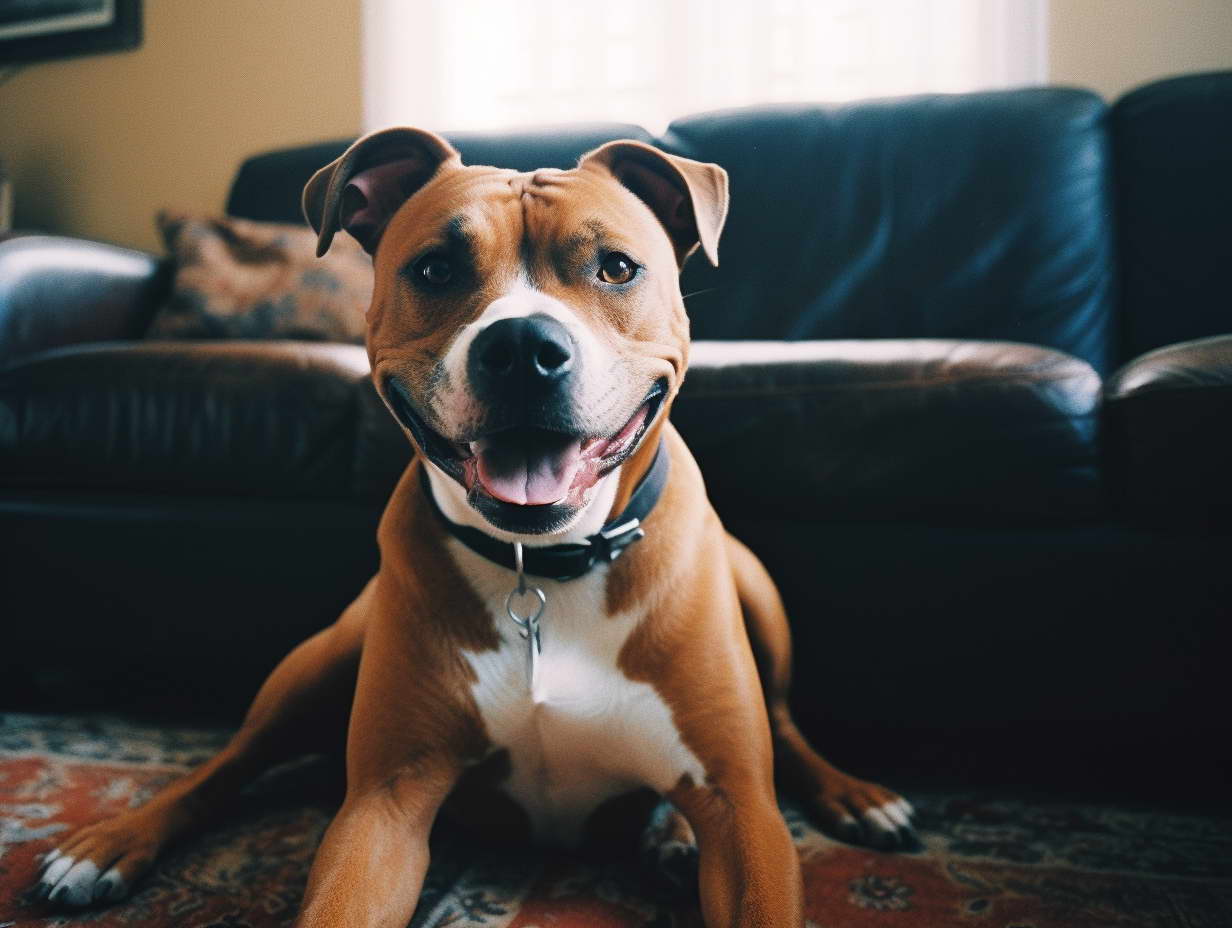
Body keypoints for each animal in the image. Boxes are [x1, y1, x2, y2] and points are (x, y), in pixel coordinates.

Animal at [31, 126, 916, 921]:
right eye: (435, 268)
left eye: (616, 267)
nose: (523, 347)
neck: (543, 565)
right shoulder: (381, 810)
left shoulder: (743, 816)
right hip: (317, 663)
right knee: (226, 766)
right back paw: (107, 844)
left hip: (756, 591)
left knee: (786, 721)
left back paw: (838, 800)